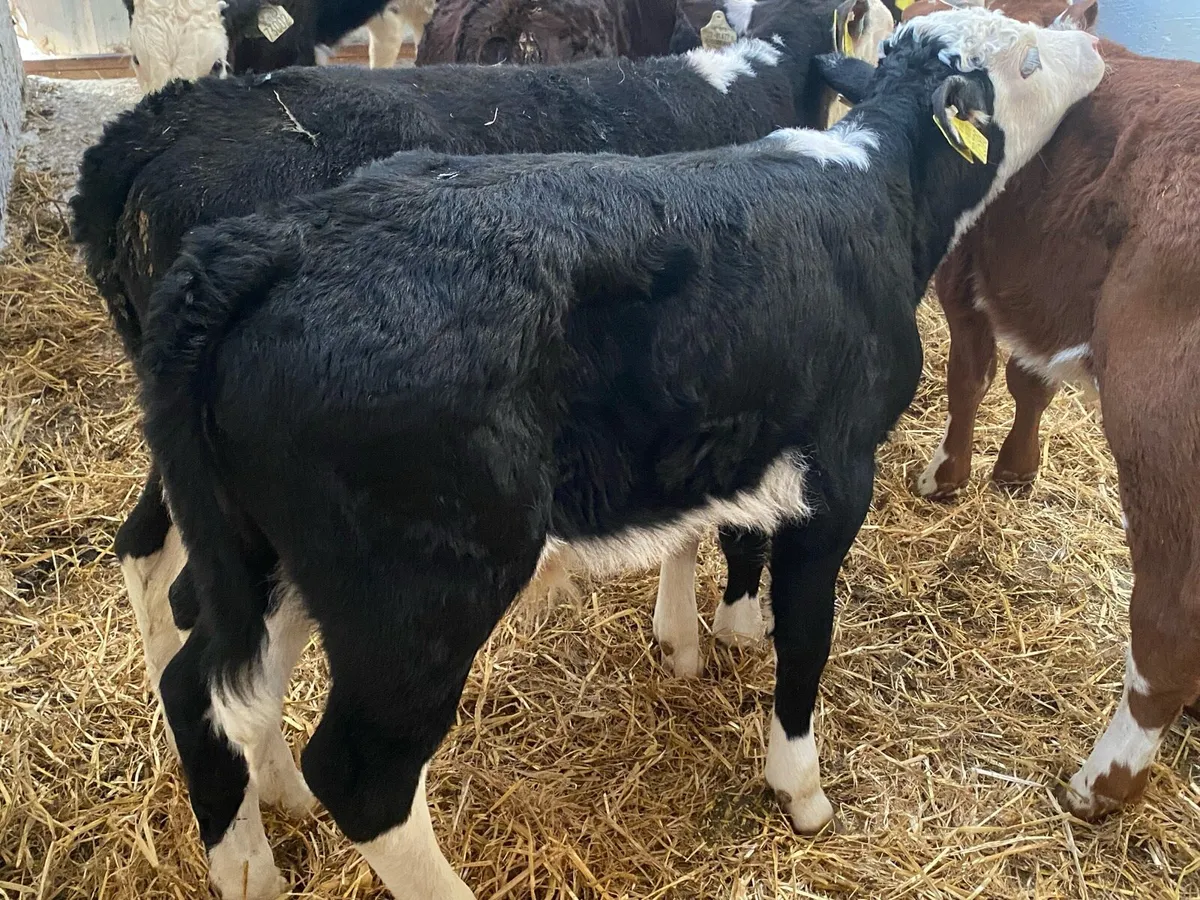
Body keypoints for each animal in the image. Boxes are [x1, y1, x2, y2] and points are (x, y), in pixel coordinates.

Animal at [133, 10, 1104, 898]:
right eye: (1023, 55)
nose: (1092, 46)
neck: (871, 188)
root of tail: (271, 247)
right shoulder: (837, 472)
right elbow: (808, 635)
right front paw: (800, 786)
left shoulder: (727, 432)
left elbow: (720, 533)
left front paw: (704, 635)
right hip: (421, 589)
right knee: (362, 774)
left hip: (273, 558)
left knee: (200, 684)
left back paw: (253, 856)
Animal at [900, 0, 1200, 821]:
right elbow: (1028, 380)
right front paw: (1015, 472)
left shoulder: (961, 268)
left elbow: (969, 375)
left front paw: (946, 475)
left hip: (1161, 445)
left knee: (1169, 627)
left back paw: (1103, 782)